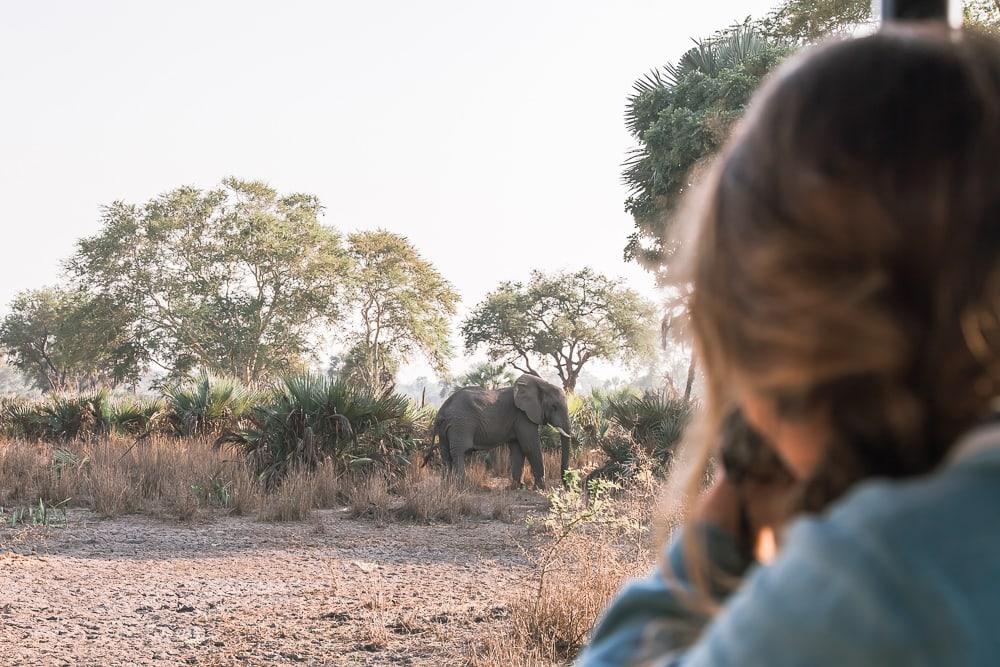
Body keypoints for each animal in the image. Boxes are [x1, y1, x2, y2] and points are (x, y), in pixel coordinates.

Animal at [432, 374, 572, 488]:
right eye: (554, 406)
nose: (566, 486)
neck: (540, 384)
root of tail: (442, 410)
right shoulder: (522, 415)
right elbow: (530, 446)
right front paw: (540, 488)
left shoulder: (517, 419)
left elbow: (517, 449)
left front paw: (516, 487)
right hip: (461, 424)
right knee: (459, 452)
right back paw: (461, 487)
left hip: (447, 428)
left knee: (445, 453)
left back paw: (447, 487)